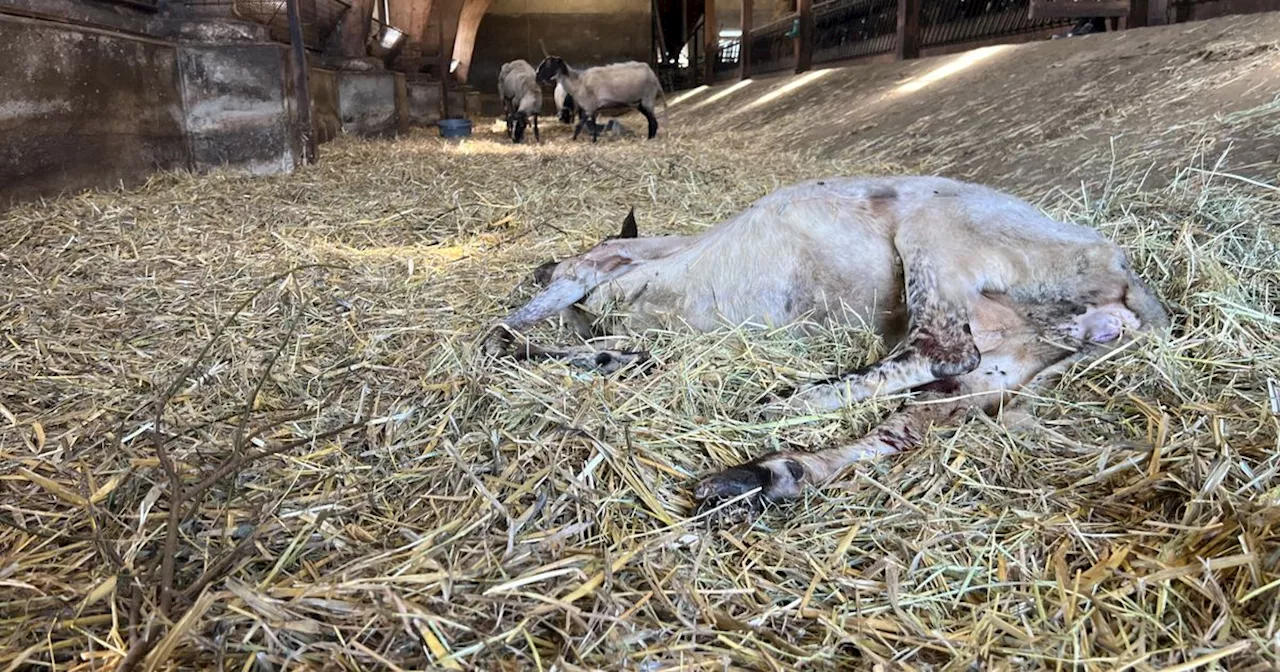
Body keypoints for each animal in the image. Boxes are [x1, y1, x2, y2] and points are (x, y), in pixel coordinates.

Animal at [486, 175, 1172, 517]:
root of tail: (1128, 288)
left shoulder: (596, 271)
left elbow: (525, 318)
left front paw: (519, 341)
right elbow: (622, 354)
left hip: (937, 235)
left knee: (940, 348)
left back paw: (792, 401)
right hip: (1004, 366)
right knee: (911, 420)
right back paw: (763, 476)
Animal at [532, 56, 665, 141]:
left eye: (549, 64)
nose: (536, 75)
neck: (577, 82)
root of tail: (652, 74)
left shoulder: (588, 107)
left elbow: (579, 125)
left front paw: (573, 139)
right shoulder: (591, 108)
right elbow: (593, 124)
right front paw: (594, 140)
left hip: (647, 99)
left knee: (653, 121)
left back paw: (650, 139)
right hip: (639, 103)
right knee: (651, 120)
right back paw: (650, 137)